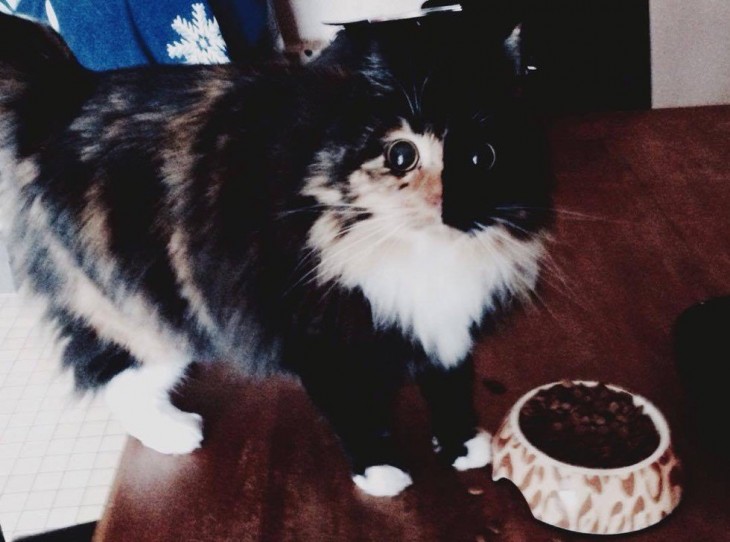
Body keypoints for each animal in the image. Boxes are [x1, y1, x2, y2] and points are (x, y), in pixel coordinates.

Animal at [0, 3, 544, 502]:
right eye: (401, 155)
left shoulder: (448, 319)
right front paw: (381, 473)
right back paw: (178, 432)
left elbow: (449, 381)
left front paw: (462, 446)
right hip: (144, 311)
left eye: (482, 157)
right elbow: (357, 414)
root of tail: (66, 90)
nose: (449, 207)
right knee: (112, 376)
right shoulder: (318, 335)